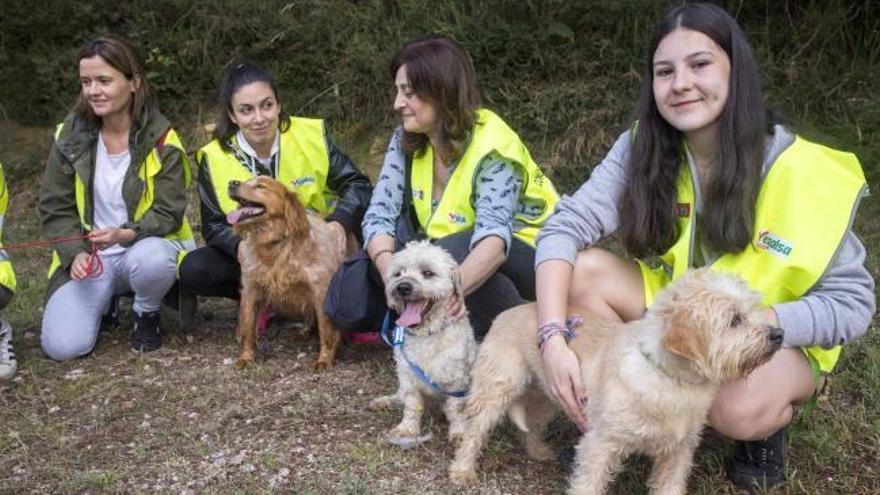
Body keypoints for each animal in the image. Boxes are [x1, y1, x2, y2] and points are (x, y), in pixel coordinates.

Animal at [227, 176, 358, 370]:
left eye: (260, 186)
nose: (231, 183)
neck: (274, 245)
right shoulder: (250, 290)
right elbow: (248, 329)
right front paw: (246, 357)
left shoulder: (321, 292)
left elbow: (326, 331)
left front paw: (324, 359)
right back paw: (304, 331)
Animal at [372, 242, 482, 448]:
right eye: (398, 273)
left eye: (428, 273)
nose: (402, 287)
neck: (427, 335)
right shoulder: (408, 377)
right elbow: (411, 405)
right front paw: (407, 429)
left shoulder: (457, 382)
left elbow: (455, 409)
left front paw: (458, 432)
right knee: (399, 395)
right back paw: (385, 401)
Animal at [450, 270, 780, 494]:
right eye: (734, 320)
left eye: (752, 311)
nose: (779, 335)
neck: (670, 380)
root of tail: (506, 312)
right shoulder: (600, 445)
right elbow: (587, 485)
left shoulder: (678, 455)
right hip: (496, 391)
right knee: (474, 431)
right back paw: (462, 470)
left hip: (550, 398)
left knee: (530, 426)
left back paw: (538, 451)